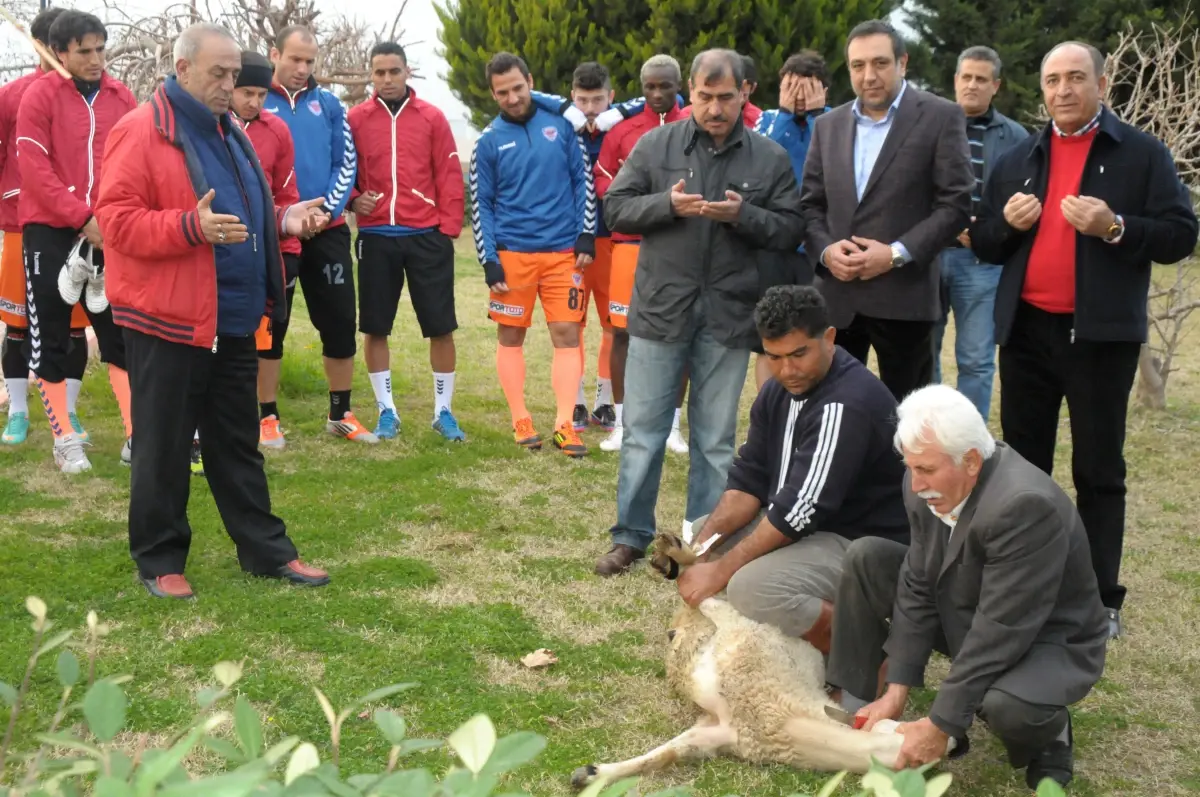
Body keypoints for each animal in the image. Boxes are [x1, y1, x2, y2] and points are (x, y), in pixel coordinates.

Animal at [571, 532, 955, 787]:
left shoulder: (718, 730)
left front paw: (593, 773)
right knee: (701, 578)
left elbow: (671, 752)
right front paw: (593, 773)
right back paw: (671, 553)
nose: (957, 743)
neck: (779, 721)